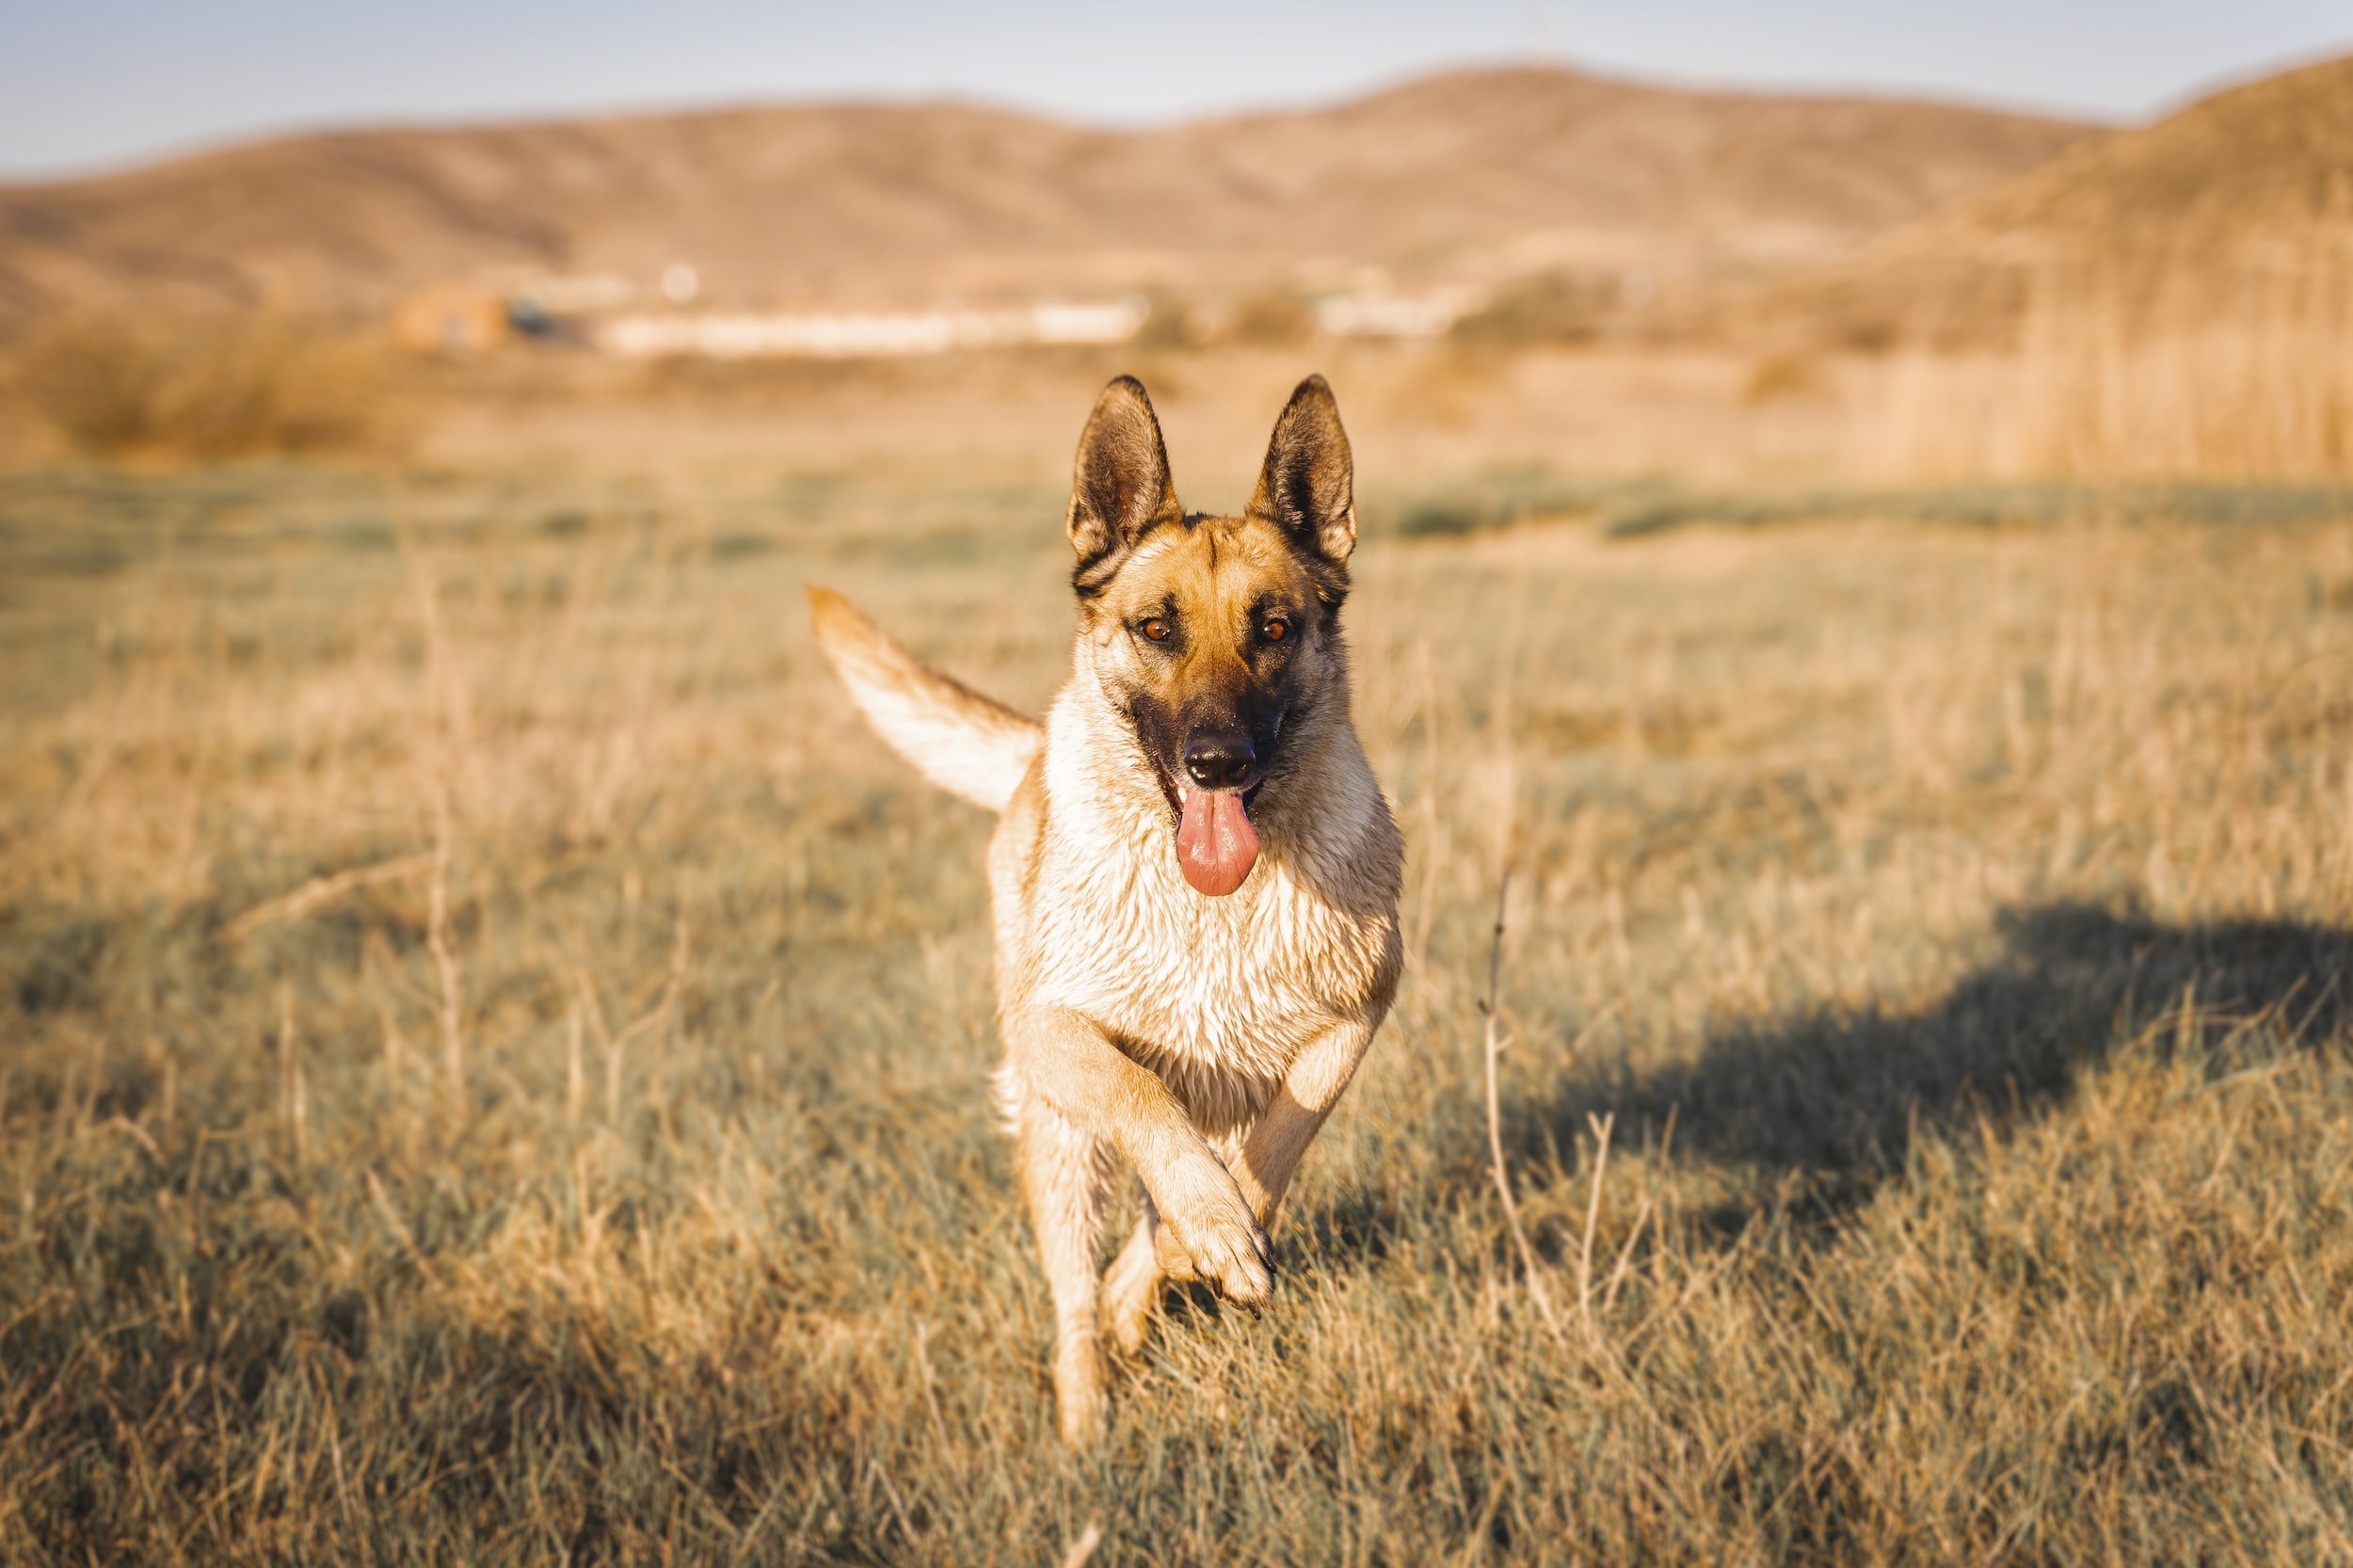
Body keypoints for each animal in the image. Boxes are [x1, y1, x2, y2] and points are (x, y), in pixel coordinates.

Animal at [809, 372, 1393, 1431]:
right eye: (1157, 628)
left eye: (1274, 629)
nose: (1217, 762)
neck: (1212, 905)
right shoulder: (1056, 1031)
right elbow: (1143, 1100)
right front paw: (1211, 1231)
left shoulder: (1355, 1017)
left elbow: (1277, 1146)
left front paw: (1212, 1240)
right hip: (1058, 1135)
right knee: (1074, 1292)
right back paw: (1087, 1416)